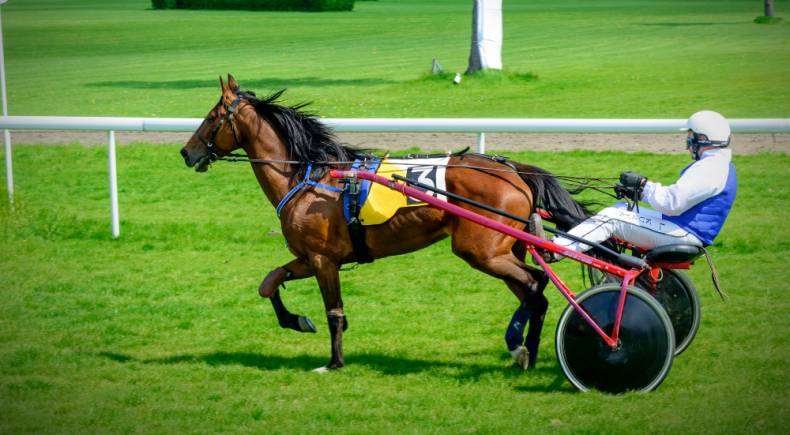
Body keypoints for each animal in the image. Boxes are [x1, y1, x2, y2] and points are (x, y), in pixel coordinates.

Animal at [178, 75, 588, 372]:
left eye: (212, 117)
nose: (186, 151)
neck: (310, 178)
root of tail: (513, 170)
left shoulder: (324, 261)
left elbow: (334, 313)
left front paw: (334, 362)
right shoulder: (310, 257)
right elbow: (269, 283)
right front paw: (297, 321)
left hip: (481, 251)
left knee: (534, 284)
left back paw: (518, 346)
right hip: (503, 250)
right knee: (536, 293)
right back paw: (527, 354)